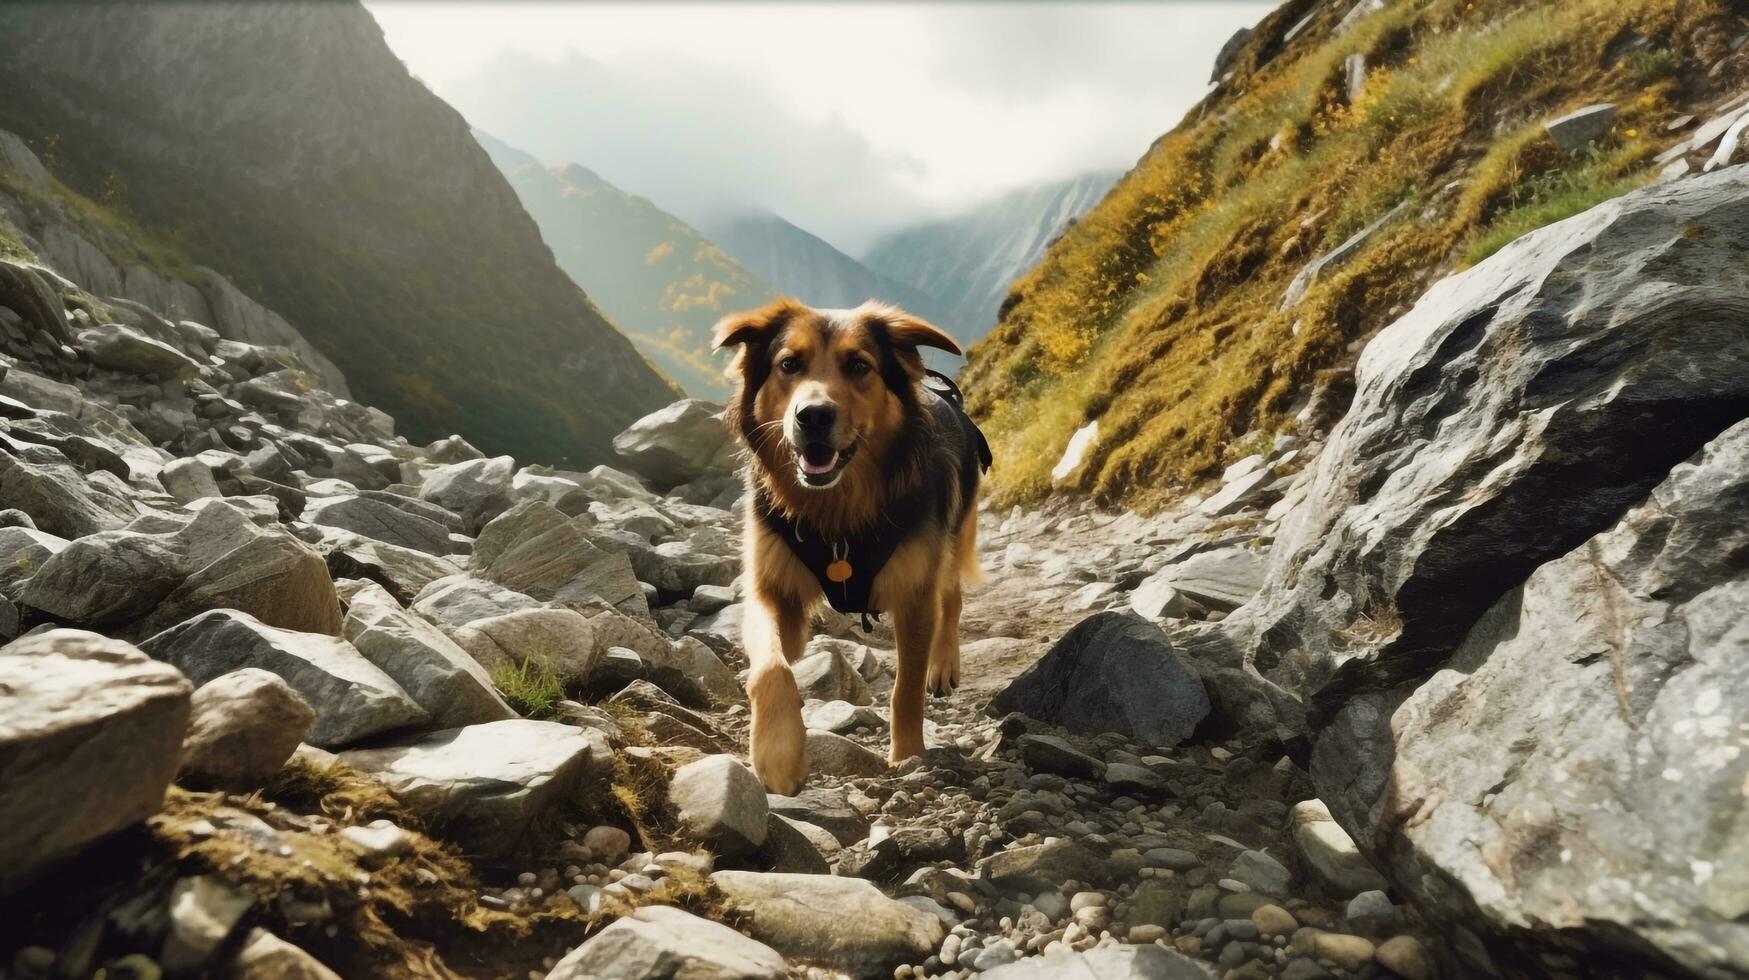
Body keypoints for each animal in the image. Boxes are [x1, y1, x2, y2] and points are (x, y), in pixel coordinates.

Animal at [710, 299, 986, 798]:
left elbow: (905, 687)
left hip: (953, 533)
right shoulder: (775, 593)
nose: (813, 416)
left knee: (951, 596)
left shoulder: (914, 595)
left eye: (859, 365)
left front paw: (908, 755)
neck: (836, 512)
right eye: (788, 365)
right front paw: (778, 751)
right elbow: (771, 664)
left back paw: (943, 664)